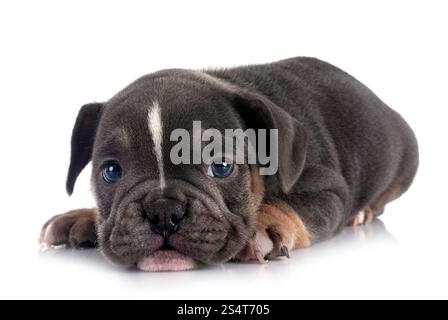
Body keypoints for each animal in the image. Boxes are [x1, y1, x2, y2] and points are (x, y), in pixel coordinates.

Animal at [40, 57, 418, 270]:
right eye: (111, 172)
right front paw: (81, 217)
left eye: (221, 167)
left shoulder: (327, 189)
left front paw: (263, 226)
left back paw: (362, 212)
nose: (163, 211)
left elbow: (289, 204)